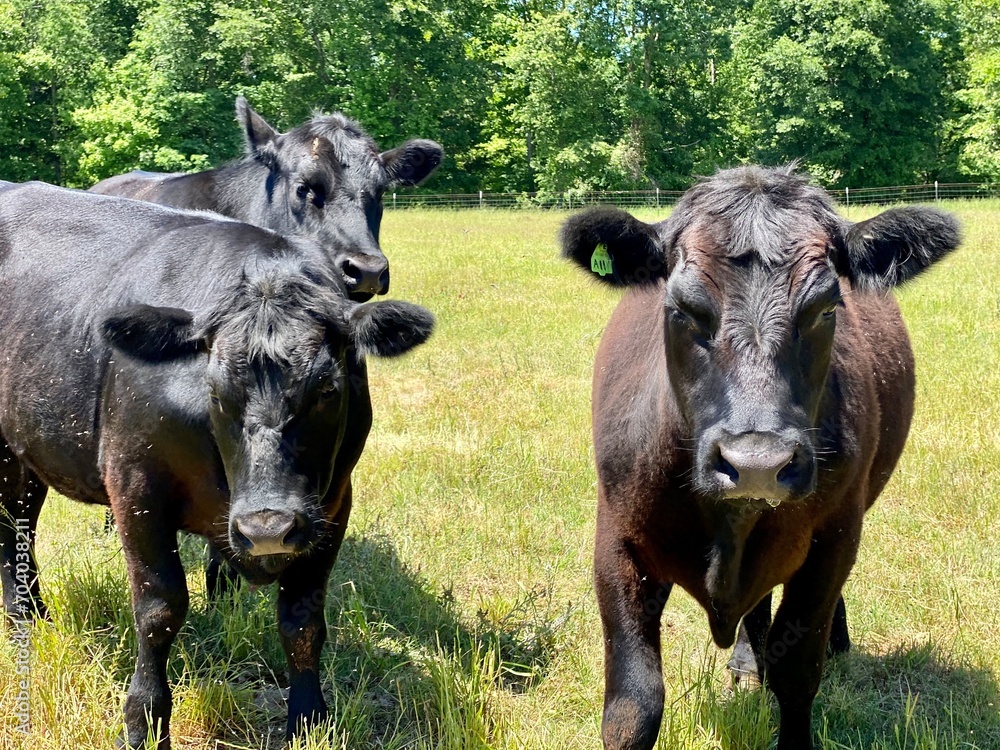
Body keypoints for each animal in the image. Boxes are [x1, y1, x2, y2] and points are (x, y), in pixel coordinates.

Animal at [0, 182, 434, 748]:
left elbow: (302, 620)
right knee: (12, 528)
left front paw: (308, 719)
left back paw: (38, 616)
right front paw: (143, 722)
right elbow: (159, 608)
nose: (267, 527)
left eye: (328, 389)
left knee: (21, 522)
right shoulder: (135, 489)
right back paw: (24, 622)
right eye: (215, 390)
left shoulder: (334, 503)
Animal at [559, 165, 960, 750]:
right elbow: (633, 704)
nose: (756, 464)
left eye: (826, 307)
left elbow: (796, 672)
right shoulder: (616, 539)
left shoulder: (833, 540)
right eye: (682, 308)